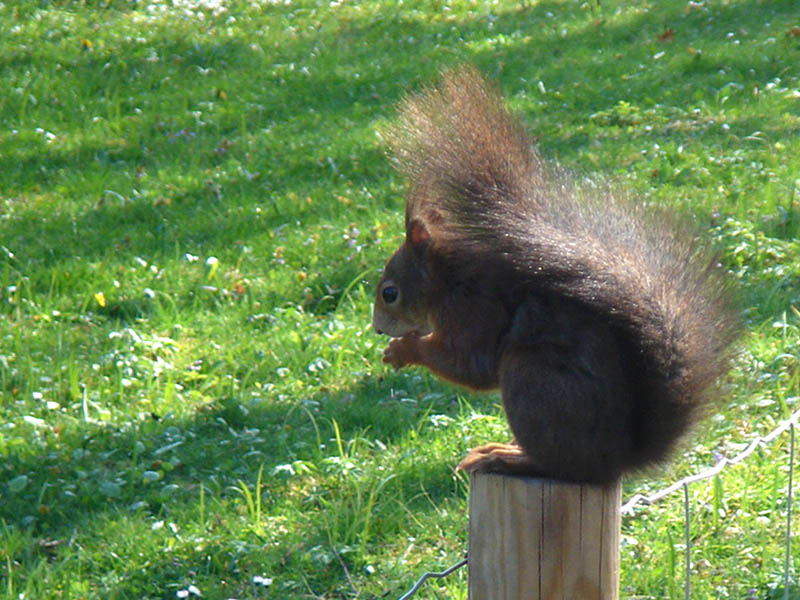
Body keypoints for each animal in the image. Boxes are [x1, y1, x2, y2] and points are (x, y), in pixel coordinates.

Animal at [372, 68, 740, 486]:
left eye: (389, 293)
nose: (378, 329)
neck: (448, 281)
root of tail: (616, 462)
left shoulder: (474, 310)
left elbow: (470, 363)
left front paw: (404, 350)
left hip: (533, 379)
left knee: (556, 464)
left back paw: (507, 457)